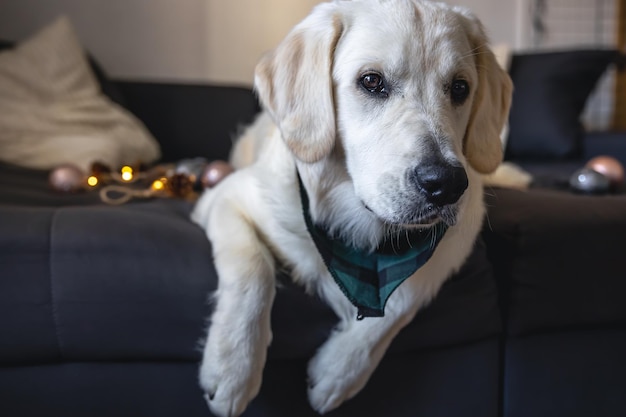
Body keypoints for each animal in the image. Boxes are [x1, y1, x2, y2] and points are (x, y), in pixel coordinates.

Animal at [193, 1, 510, 414]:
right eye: (372, 81)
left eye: (460, 88)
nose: (446, 186)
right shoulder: (226, 197)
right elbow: (253, 269)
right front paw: (233, 368)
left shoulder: (453, 245)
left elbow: (400, 301)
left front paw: (337, 371)